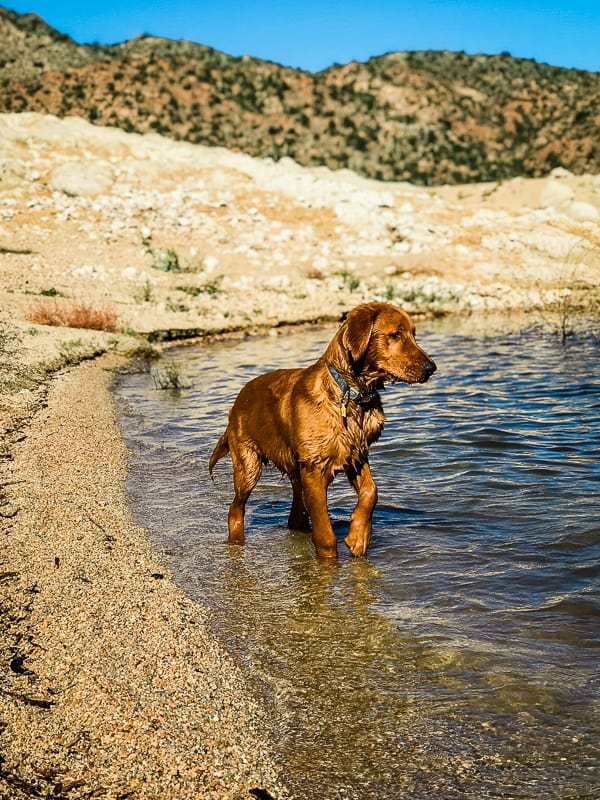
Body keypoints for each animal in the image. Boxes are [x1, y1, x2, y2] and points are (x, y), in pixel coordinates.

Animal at [210, 304, 436, 560]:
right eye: (396, 334)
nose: (431, 368)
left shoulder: (356, 454)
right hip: (248, 466)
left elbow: (371, 491)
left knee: (295, 515)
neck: (349, 394)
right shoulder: (313, 467)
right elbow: (325, 533)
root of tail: (238, 399)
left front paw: (359, 536)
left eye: (414, 334)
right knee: (235, 509)